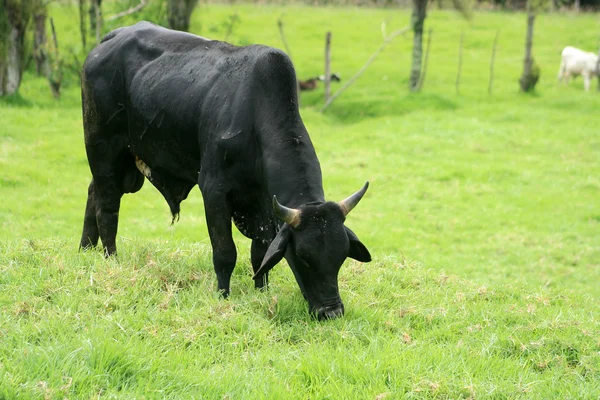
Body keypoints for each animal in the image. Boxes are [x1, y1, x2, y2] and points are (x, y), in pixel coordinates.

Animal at [79, 22, 370, 322]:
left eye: (341, 256)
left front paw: (261, 292)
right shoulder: (214, 191)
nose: (332, 312)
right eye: (303, 257)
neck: (255, 115)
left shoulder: (264, 207)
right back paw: (111, 259)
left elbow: (260, 255)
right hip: (103, 150)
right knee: (107, 208)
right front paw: (223, 296)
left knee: (93, 193)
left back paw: (85, 249)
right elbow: (225, 253)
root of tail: (114, 36)